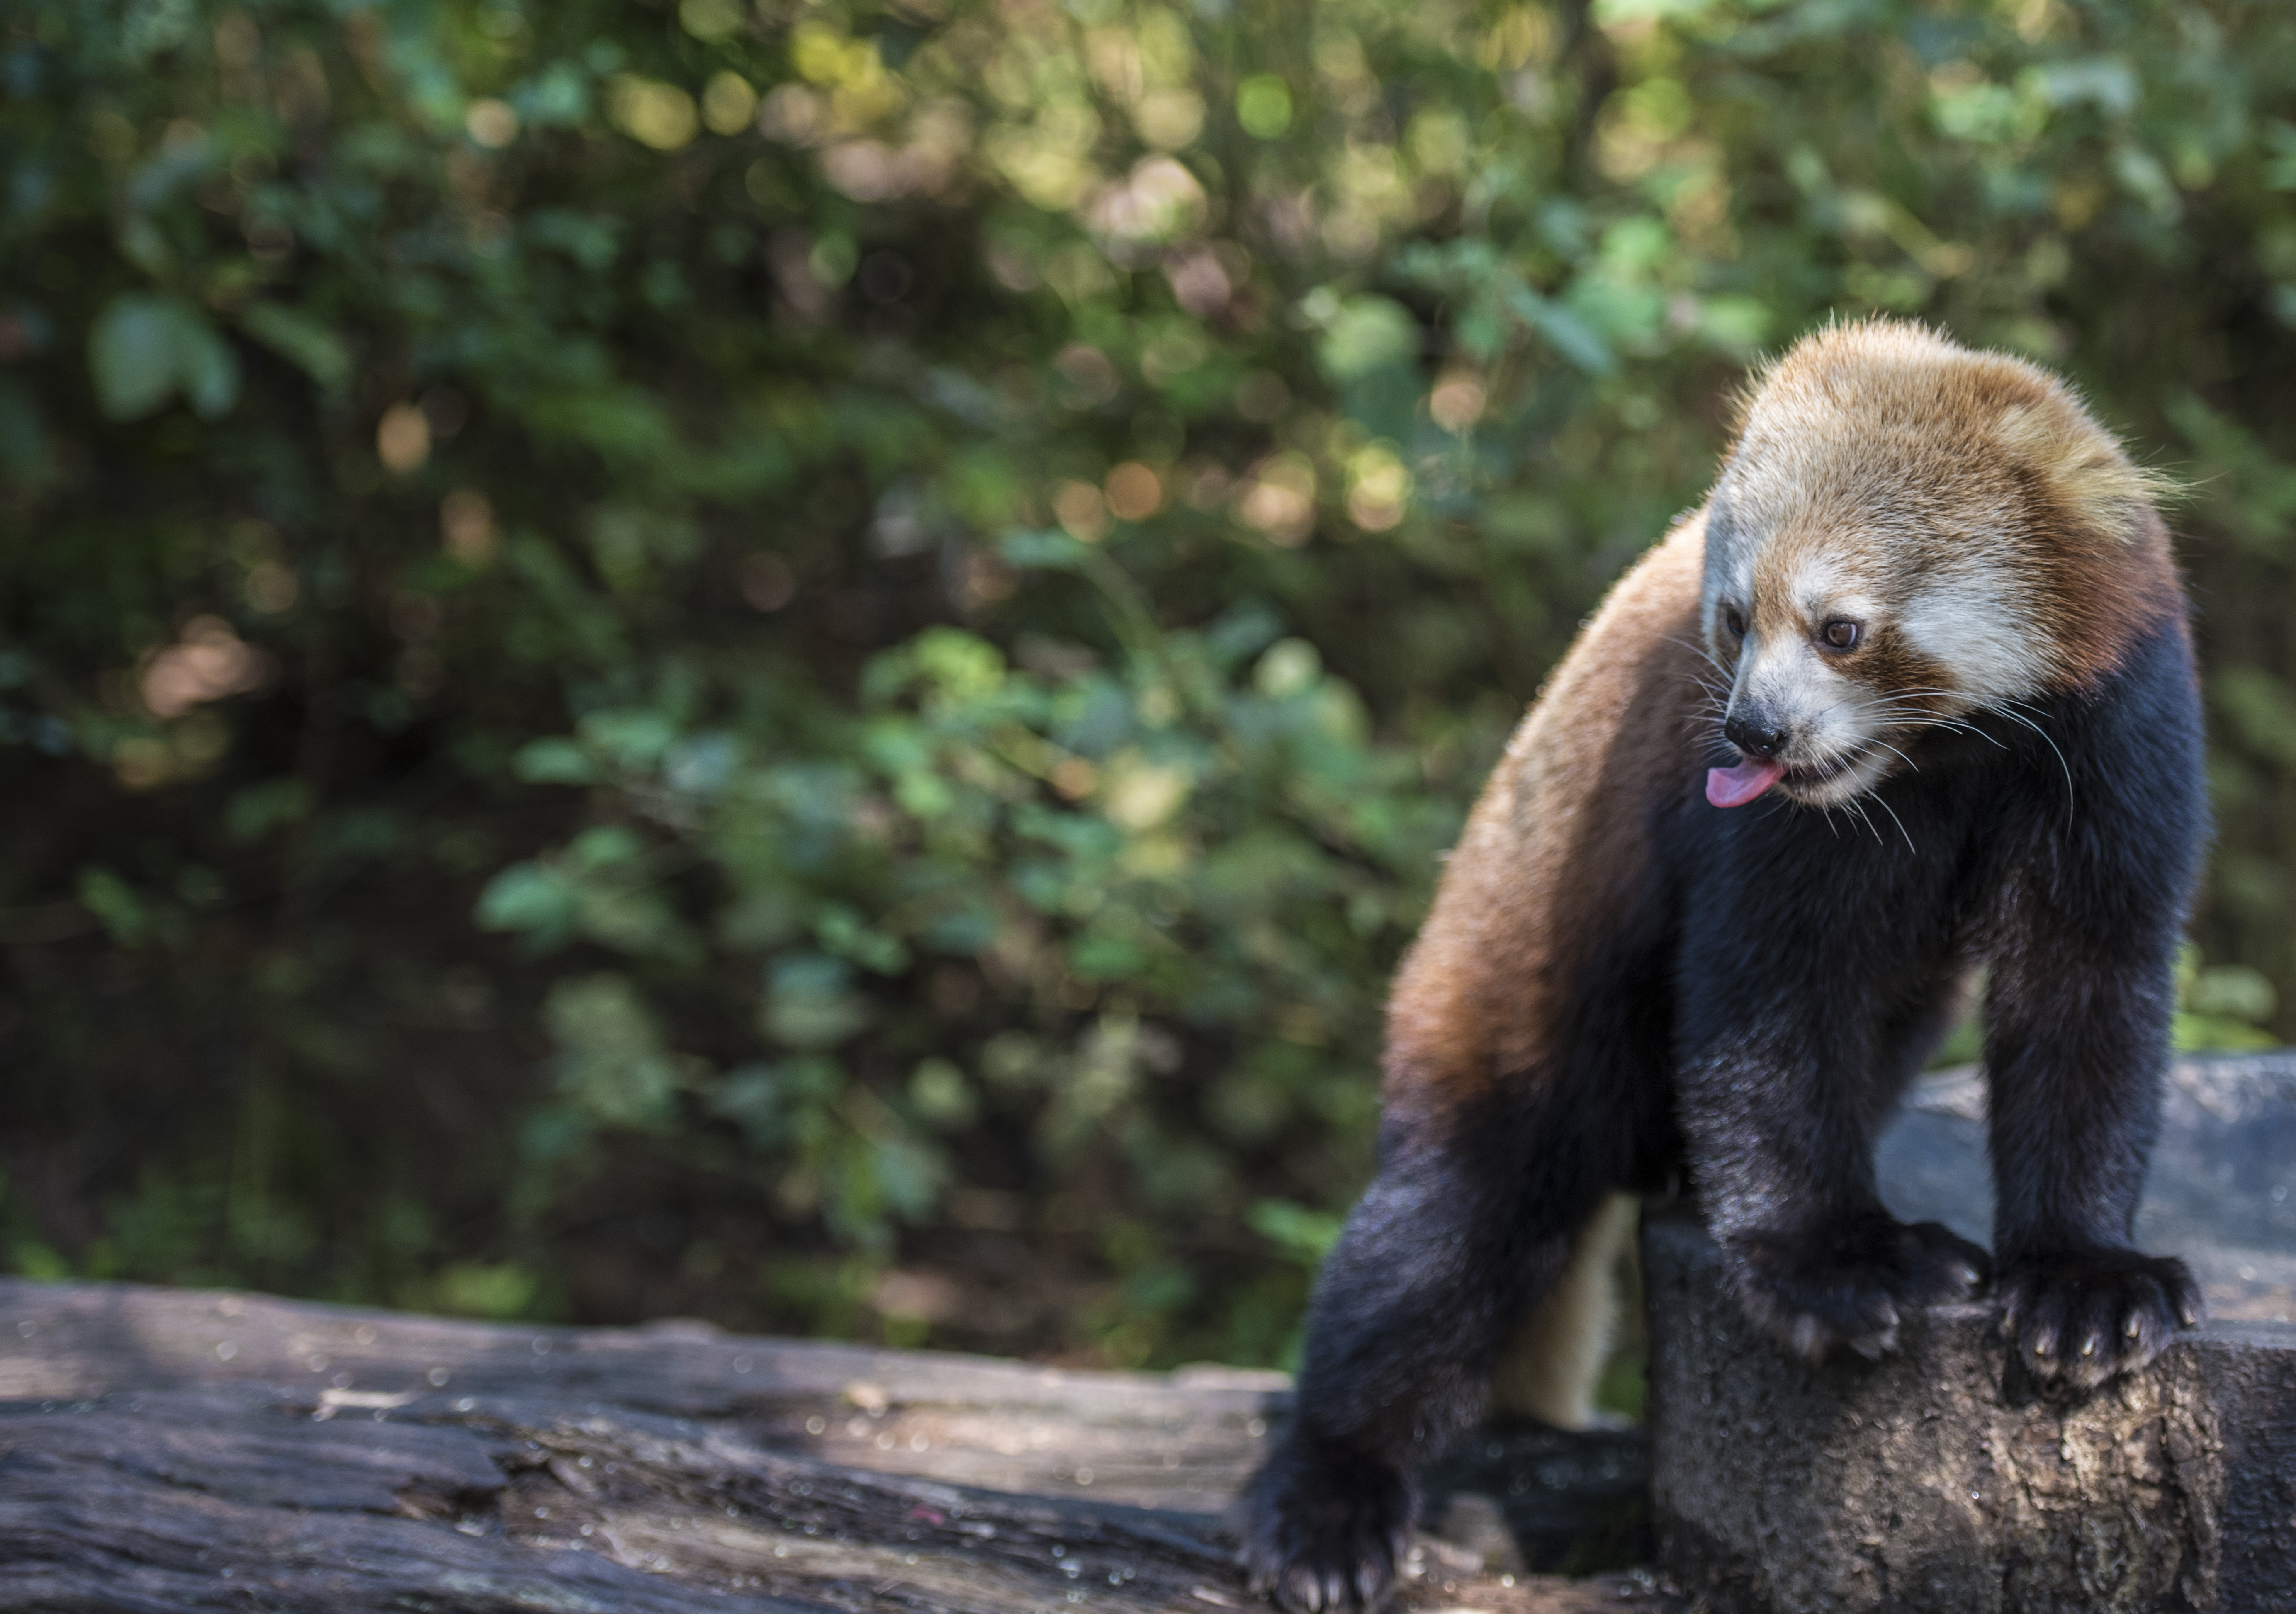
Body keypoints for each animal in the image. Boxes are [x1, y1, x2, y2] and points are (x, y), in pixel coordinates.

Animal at [1249, 321, 2213, 1607]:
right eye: (1732, 621)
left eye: (1838, 628)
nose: (1750, 731)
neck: (1941, 762)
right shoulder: (1760, 840)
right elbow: (1764, 1016)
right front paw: (1835, 1263)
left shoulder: (2111, 737)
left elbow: (2087, 1002)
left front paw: (2084, 1278)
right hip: (1504, 981)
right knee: (1442, 1234)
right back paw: (1327, 1495)